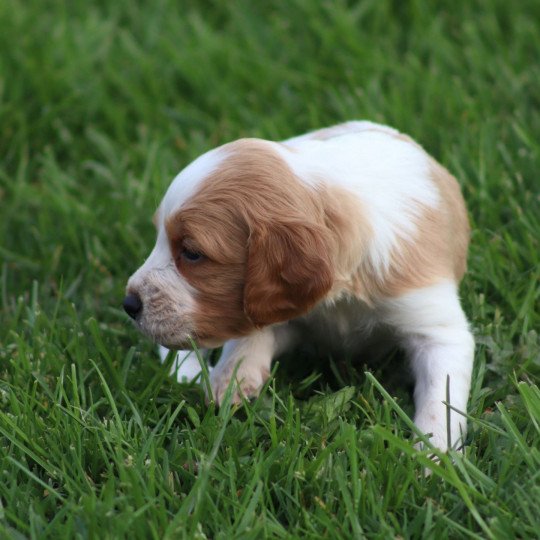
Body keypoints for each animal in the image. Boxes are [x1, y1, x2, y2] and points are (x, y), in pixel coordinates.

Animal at [124, 122, 474, 452]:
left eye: (192, 253)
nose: (129, 304)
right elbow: (253, 333)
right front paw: (232, 377)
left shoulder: (434, 324)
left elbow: (441, 397)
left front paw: (433, 455)